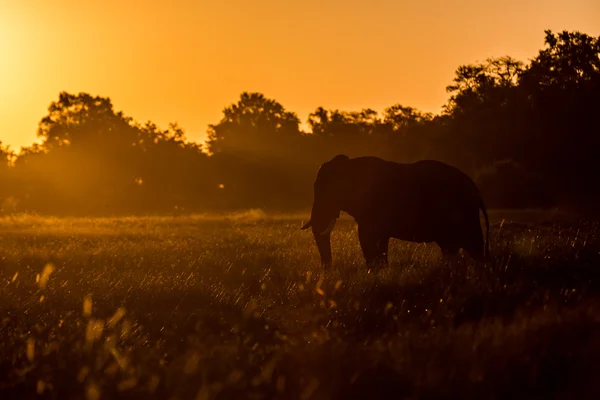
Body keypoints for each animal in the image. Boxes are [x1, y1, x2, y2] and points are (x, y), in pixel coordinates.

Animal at [302, 155, 490, 268]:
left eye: (326, 191)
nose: (327, 271)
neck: (349, 165)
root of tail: (476, 189)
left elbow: (366, 236)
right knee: (452, 248)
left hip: (464, 213)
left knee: (473, 247)